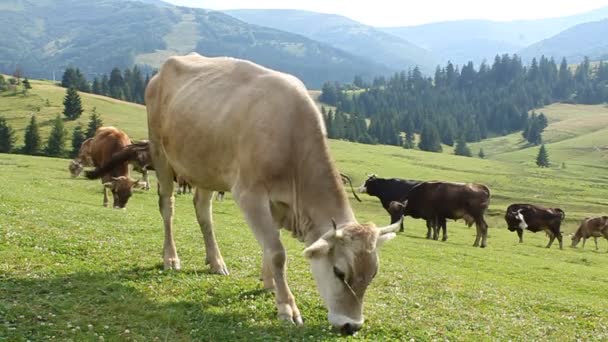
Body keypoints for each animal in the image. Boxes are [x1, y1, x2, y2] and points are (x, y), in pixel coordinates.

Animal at [144, 54, 402, 334]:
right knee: (167, 206)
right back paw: (171, 257)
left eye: (373, 274)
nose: (351, 325)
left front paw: (269, 283)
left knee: (203, 212)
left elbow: (269, 246)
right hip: (160, 152)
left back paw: (216, 262)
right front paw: (287, 306)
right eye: (339, 272)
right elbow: (277, 252)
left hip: (205, 167)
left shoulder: (278, 203)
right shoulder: (249, 194)